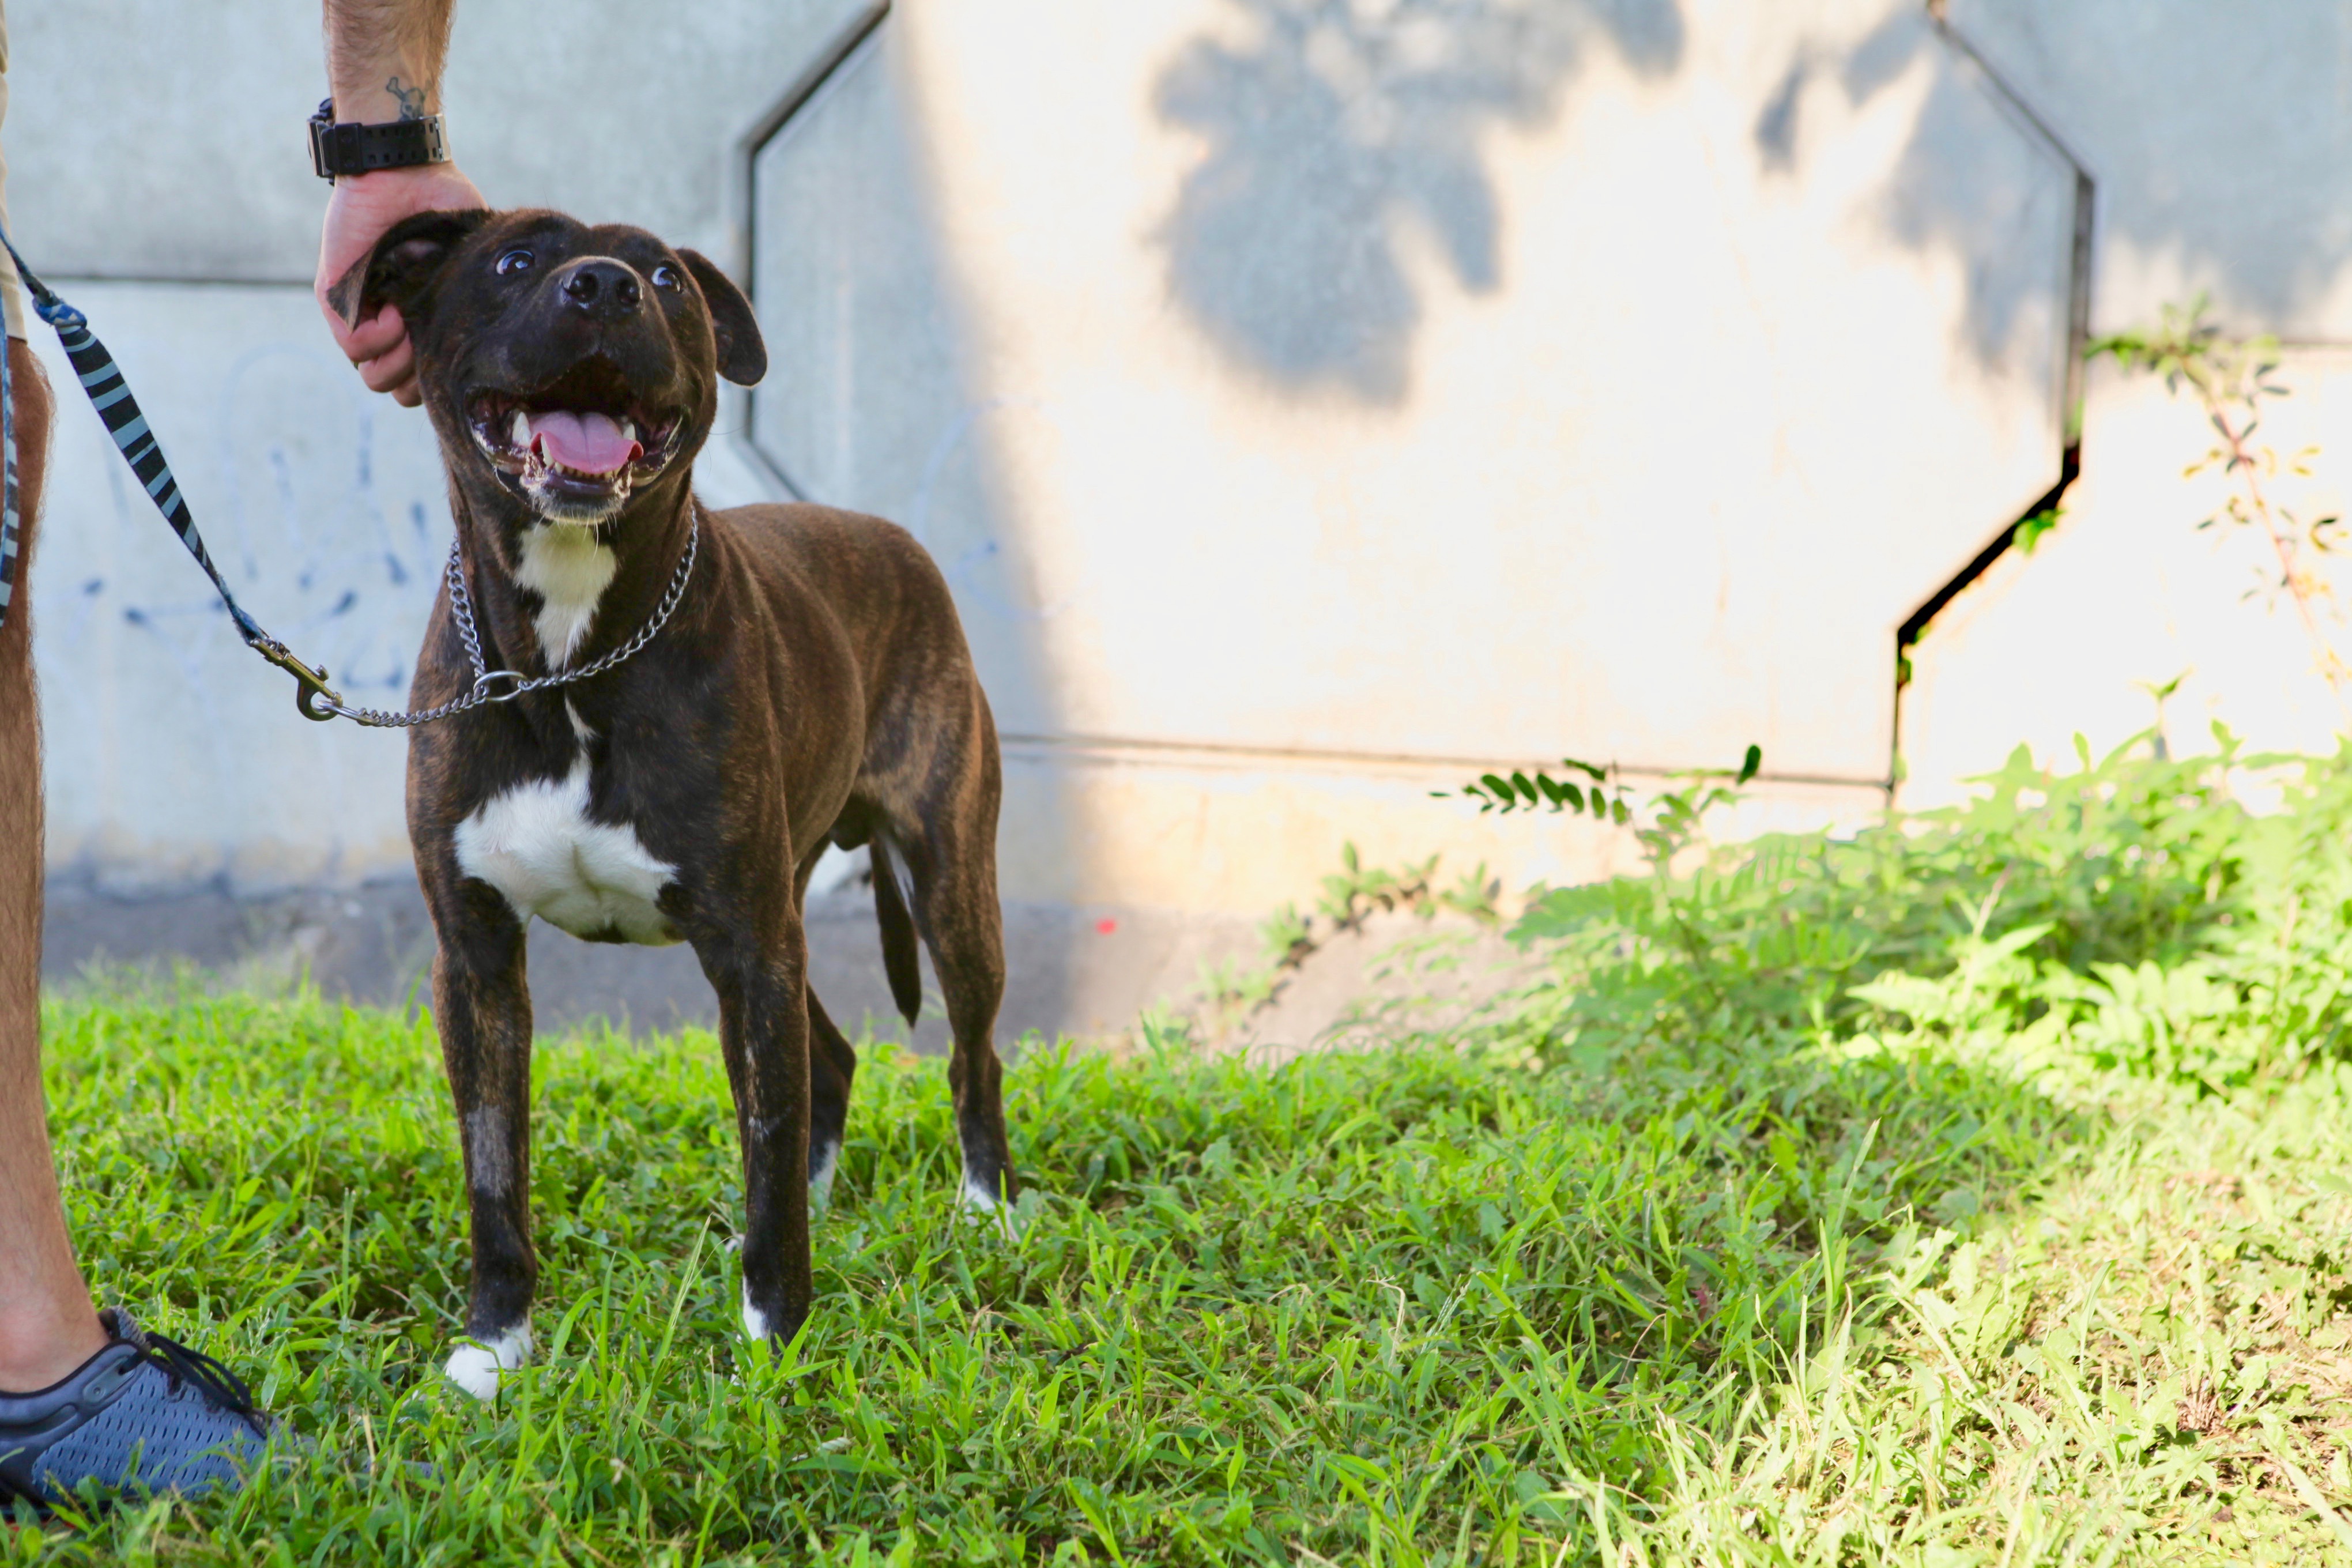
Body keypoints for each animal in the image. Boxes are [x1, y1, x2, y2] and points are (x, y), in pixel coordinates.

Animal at [329, 212, 1011, 1401]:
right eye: (514, 260)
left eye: (663, 277)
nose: (605, 287)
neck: (567, 650)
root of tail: (892, 537)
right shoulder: (478, 959)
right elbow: (495, 1173)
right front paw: (494, 1347)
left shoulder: (748, 946)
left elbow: (766, 1150)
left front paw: (774, 1341)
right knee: (824, 1061)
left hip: (944, 881)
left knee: (973, 1054)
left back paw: (988, 1215)